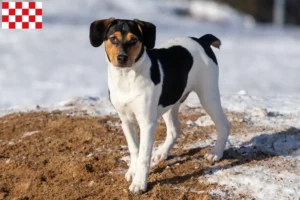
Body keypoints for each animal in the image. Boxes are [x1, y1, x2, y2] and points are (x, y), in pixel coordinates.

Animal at [88, 17, 230, 194]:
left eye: (134, 40)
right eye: (113, 39)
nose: (122, 58)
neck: (126, 78)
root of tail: (202, 40)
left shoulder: (147, 123)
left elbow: (143, 155)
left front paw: (139, 183)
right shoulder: (126, 121)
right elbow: (134, 149)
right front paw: (133, 171)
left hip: (208, 96)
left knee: (224, 125)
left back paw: (216, 153)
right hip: (171, 102)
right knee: (175, 129)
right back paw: (161, 153)